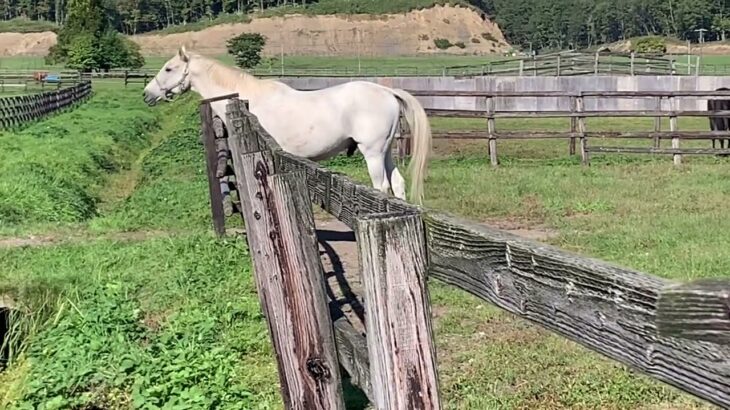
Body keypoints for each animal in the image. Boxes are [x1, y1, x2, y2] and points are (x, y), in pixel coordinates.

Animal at [139, 46, 430, 205]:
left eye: (168, 69)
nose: (147, 94)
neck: (249, 100)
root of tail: (387, 92)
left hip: (372, 154)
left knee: (382, 188)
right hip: (386, 152)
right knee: (398, 185)